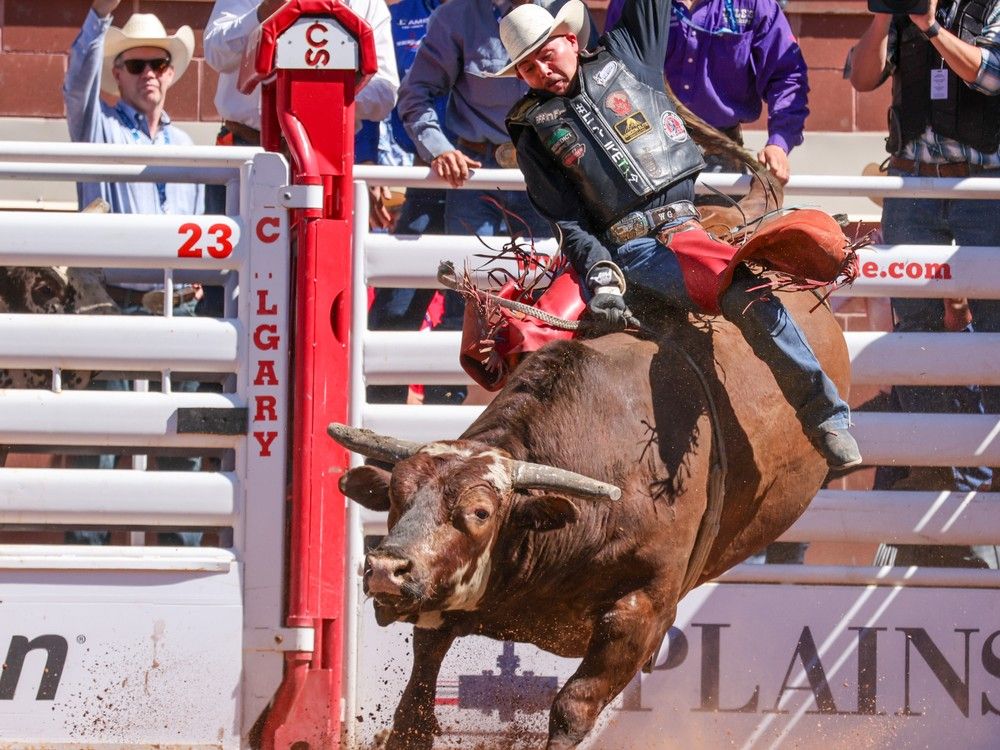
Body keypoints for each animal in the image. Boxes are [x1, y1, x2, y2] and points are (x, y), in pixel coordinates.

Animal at [332, 290, 848, 748]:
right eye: (395, 496)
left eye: (479, 512)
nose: (385, 570)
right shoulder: (447, 608)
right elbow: (414, 711)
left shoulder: (642, 614)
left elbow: (572, 708)